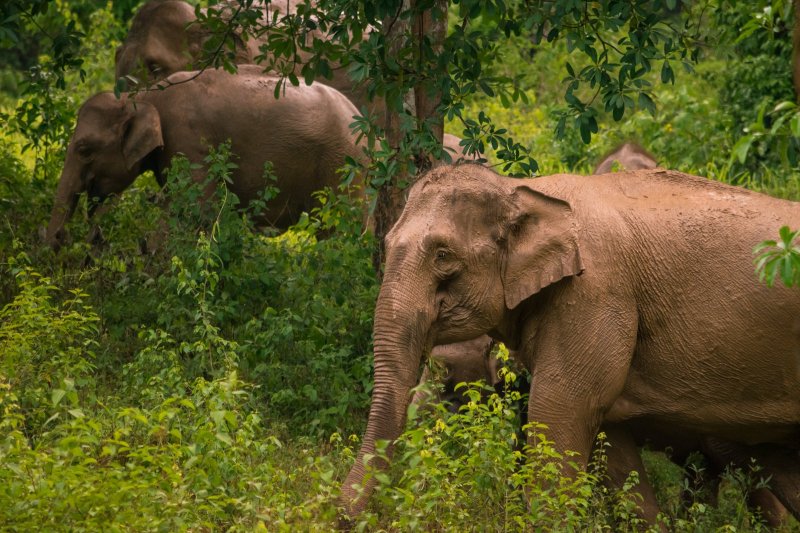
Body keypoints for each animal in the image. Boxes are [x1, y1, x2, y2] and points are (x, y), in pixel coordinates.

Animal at [45, 65, 364, 250]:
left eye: (84, 150)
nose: (62, 238)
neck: (145, 96)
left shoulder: (188, 139)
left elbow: (197, 210)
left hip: (342, 164)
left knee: (338, 228)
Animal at [338, 163, 800, 524]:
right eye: (385, 245)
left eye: (442, 255)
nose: (341, 519)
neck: (523, 189)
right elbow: (610, 441)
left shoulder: (595, 295)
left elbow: (560, 408)